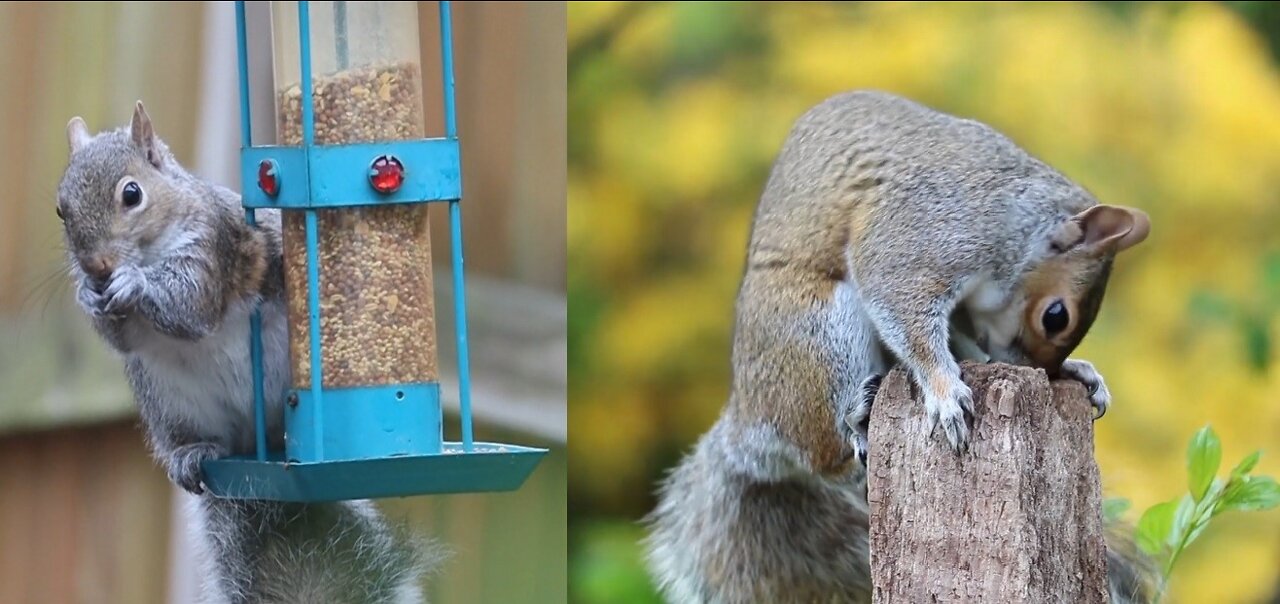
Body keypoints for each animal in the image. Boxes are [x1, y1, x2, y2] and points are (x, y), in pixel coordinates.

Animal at [57, 102, 440, 604]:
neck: (153, 250)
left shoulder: (213, 250)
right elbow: (125, 339)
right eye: (60, 209)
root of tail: (249, 454)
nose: (96, 267)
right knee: (200, 440)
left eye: (132, 194)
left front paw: (133, 284)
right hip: (171, 402)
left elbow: (190, 307)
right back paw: (193, 452)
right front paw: (87, 295)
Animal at [645, 90, 1157, 604]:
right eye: (1056, 316)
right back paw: (857, 420)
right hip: (821, 336)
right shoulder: (927, 231)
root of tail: (743, 425)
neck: (1014, 222)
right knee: (826, 455)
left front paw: (1077, 371)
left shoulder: (965, 307)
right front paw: (945, 390)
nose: (1037, 370)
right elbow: (903, 307)